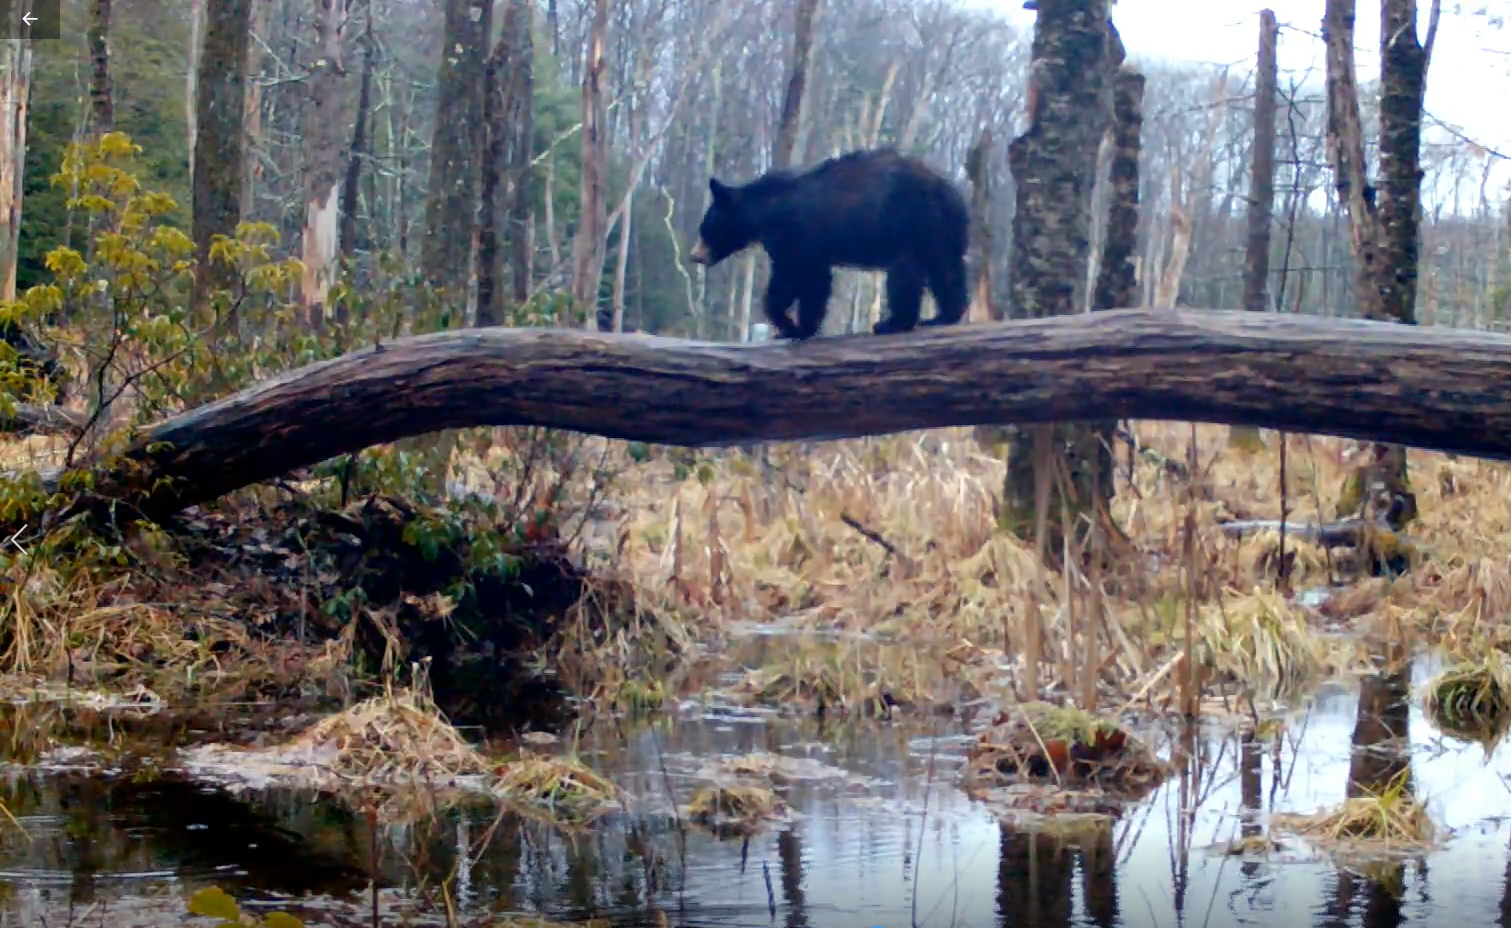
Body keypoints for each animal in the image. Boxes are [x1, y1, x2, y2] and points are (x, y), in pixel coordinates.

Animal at [688, 147, 971, 341]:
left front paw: (796, 327)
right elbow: (796, 281)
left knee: (906, 273)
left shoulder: (796, 235)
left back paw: (892, 323)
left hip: (909, 223)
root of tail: (949, 194)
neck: (764, 212)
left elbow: (806, 279)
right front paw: (793, 327)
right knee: (946, 270)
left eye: (705, 229)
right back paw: (942, 316)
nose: (694, 256)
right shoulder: (791, 244)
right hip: (940, 233)